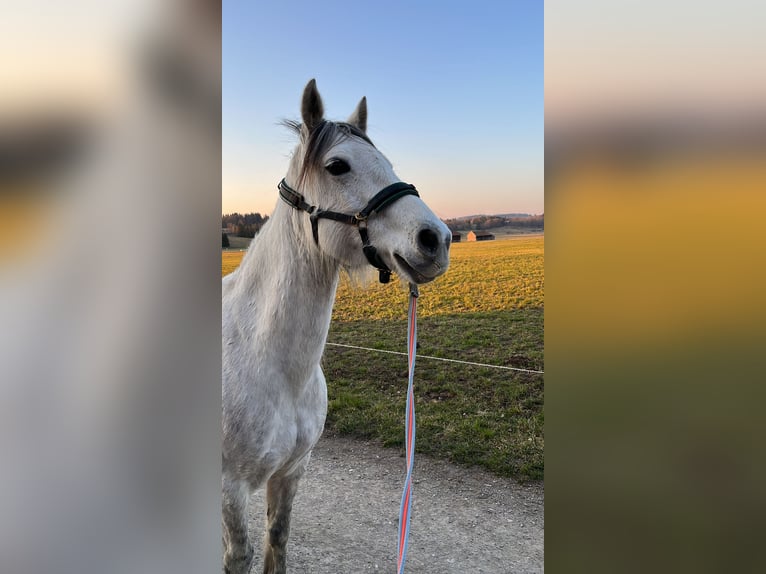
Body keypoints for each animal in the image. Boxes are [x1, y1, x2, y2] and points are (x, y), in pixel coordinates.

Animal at [222, 79, 451, 574]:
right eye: (337, 165)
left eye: (388, 163)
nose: (437, 239)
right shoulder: (229, 488)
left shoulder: (291, 472)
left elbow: (277, 540)